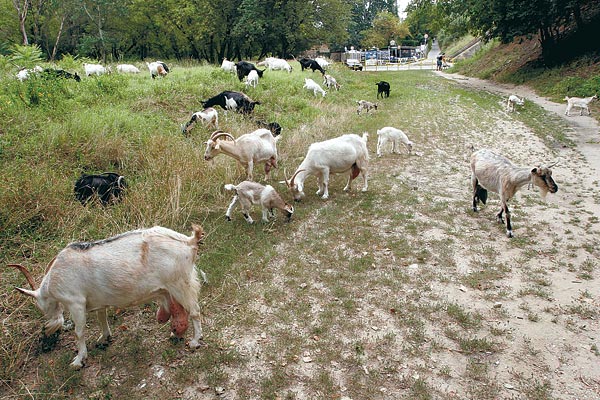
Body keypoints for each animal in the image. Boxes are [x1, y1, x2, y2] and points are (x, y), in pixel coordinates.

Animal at [7, 225, 206, 368]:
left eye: (41, 306)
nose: (49, 329)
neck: (54, 278)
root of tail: (189, 241)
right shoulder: (98, 301)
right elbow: (101, 317)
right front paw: (104, 338)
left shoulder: (76, 303)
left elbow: (79, 332)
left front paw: (78, 360)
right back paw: (176, 335)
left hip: (180, 284)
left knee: (195, 311)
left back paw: (195, 341)